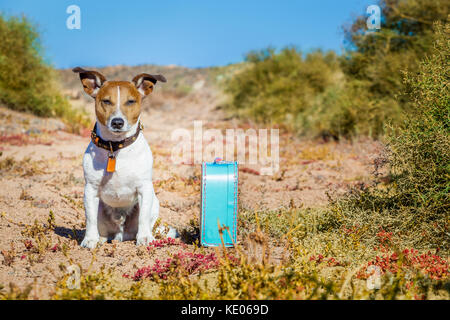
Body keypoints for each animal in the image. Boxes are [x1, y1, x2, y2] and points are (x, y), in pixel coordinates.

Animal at [73, 66, 175, 249]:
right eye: (106, 101)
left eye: (131, 101)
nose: (117, 122)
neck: (115, 147)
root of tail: (121, 235)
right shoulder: (90, 190)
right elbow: (90, 219)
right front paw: (89, 240)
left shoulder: (144, 188)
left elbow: (143, 218)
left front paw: (145, 238)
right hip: (100, 208)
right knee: (101, 228)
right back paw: (100, 238)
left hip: (154, 203)